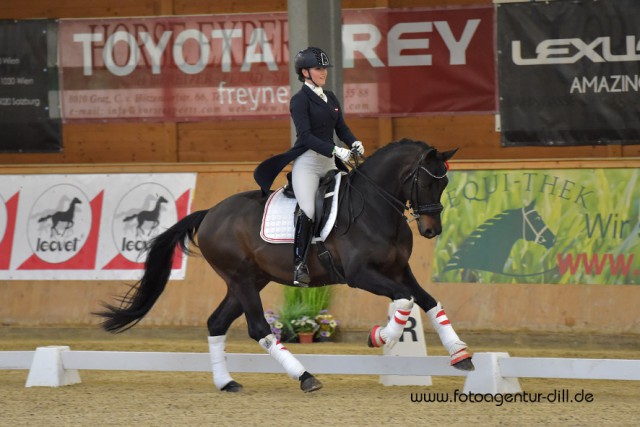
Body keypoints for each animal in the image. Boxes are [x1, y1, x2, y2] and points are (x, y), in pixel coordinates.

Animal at [96, 139, 476, 392]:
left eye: (444, 182)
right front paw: (380, 337)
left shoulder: (399, 270)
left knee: (217, 322)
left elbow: (427, 301)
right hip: (241, 279)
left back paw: (227, 382)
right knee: (259, 328)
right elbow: (404, 301)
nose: (432, 230)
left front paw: (460, 355)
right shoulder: (361, 275)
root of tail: (210, 213)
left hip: (250, 281)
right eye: (426, 181)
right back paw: (305, 377)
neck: (374, 207)